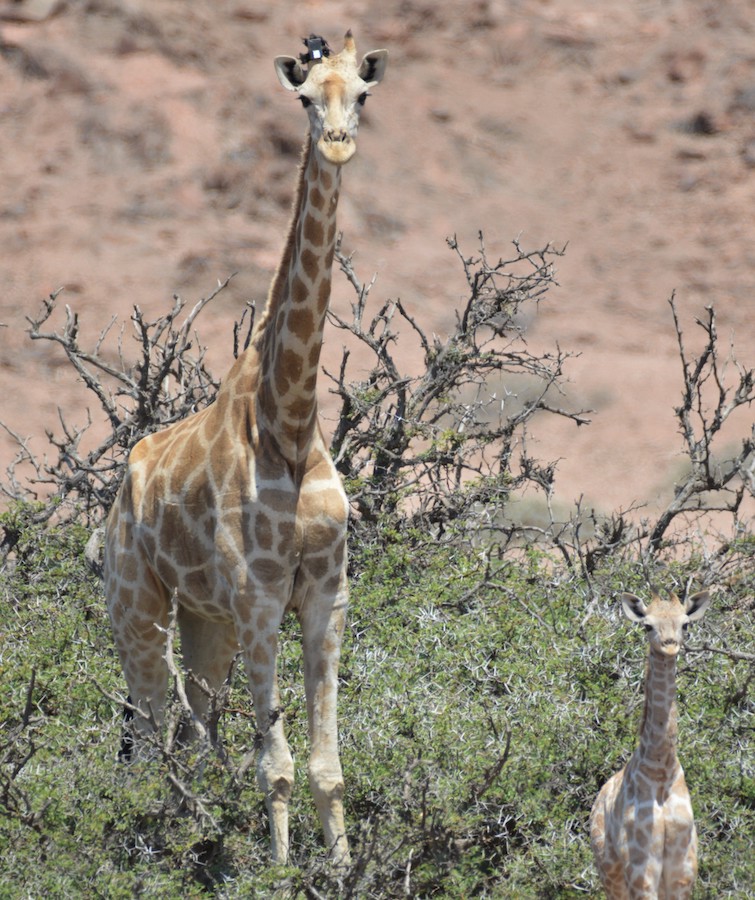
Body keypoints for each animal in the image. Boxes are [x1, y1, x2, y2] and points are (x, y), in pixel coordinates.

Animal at [105, 29, 390, 864]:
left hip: (209, 623)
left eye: (362, 94)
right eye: (304, 98)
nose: (336, 142)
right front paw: (281, 872)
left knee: (191, 730)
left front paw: (338, 870)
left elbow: (326, 766)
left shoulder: (326, 594)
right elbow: (278, 765)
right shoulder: (262, 595)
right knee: (152, 732)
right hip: (137, 606)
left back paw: (195, 836)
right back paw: (160, 852)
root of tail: (116, 497)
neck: (289, 423)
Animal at [592, 588, 712, 896]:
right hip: (611, 876)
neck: (661, 768)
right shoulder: (641, 871)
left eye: (685, 624)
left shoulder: (683, 872)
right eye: (647, 626)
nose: (669, 646)